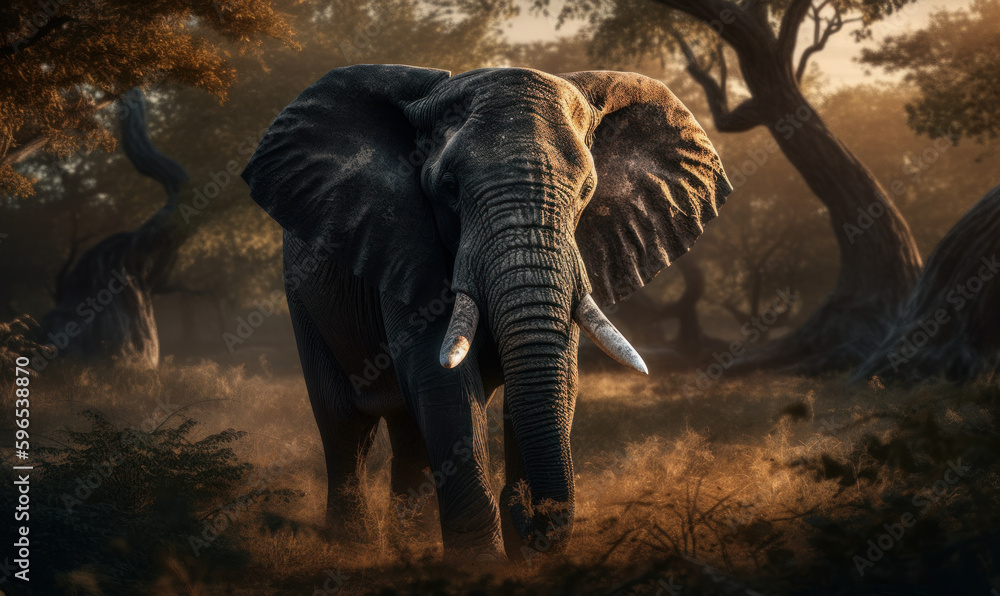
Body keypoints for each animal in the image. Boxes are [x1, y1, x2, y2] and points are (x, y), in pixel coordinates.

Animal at [241, 64, 732, 562]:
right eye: (449, 189)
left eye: (587, 191)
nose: (523, 510)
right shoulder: (404, 245)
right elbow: (442, 383)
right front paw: (481, 565)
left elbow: (558, 376)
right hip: (303, 297)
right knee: (345, 427)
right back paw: (353, 548)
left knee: (409, 434)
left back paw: (410, 546)